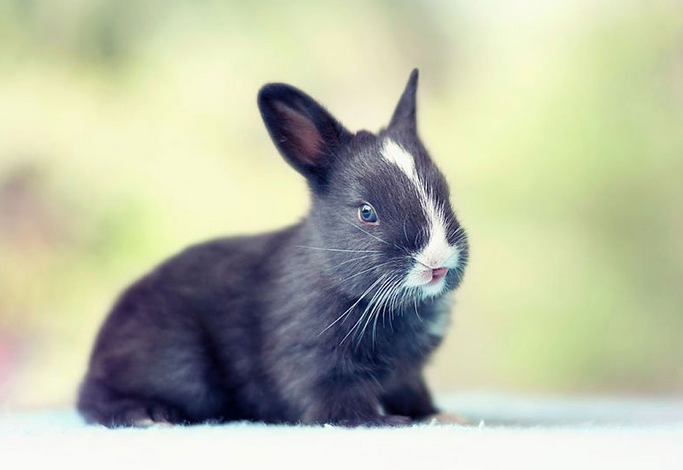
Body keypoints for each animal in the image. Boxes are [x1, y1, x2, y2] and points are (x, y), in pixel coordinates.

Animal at [77, 69, 469, 428]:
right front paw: (385, 422)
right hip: (178, 366)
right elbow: (339, 407)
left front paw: (441, 416)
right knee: (95, 402)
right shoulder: (316, 363)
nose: (436, 262)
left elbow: (413, 395)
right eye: (367, 212)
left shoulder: (408, 374)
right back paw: (149, 415)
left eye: (446, 193)